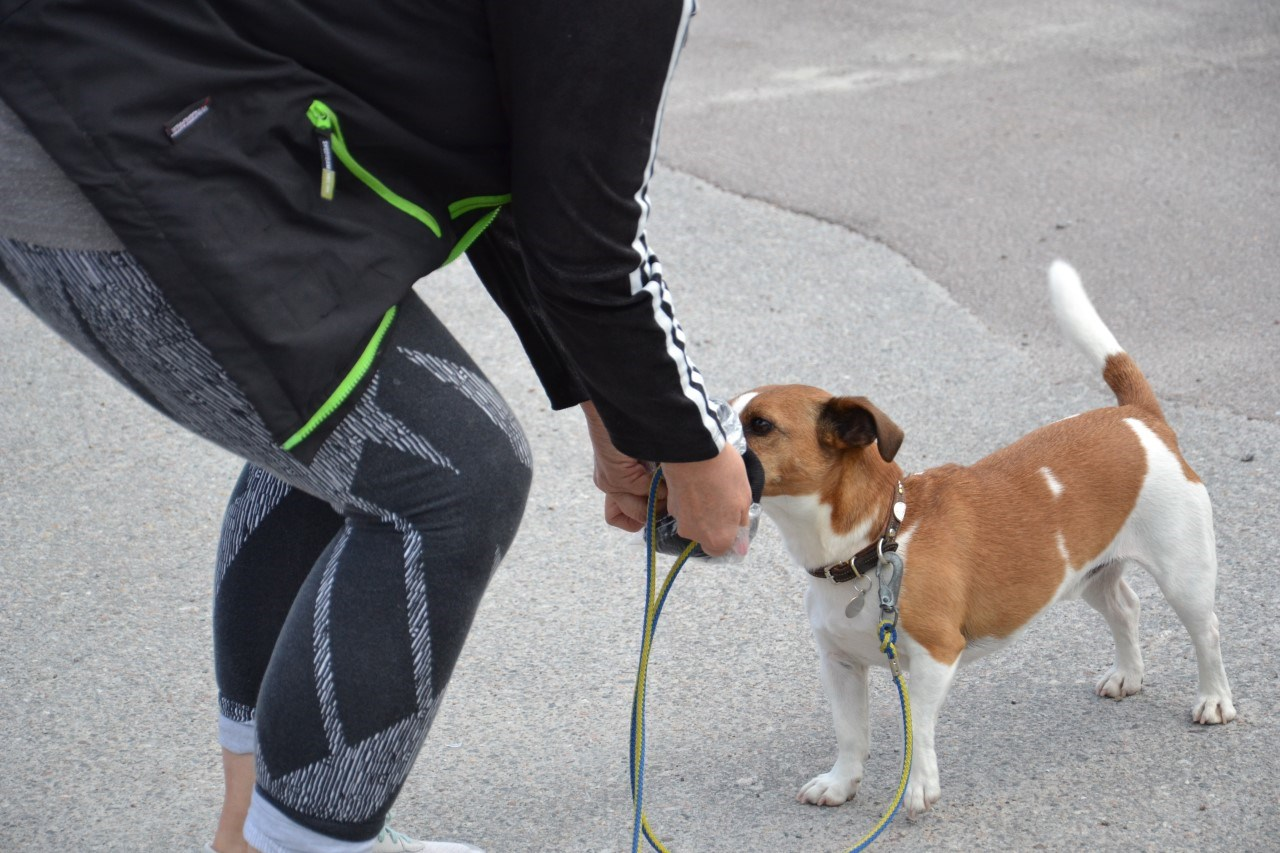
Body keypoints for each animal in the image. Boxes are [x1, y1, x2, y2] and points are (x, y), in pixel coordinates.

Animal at [737, 261, 1233, 819]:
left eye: (761, 425)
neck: (880, 540)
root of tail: (1138, 416)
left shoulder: (934, 658)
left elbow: (920, 732)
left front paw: (918, 787)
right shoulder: (840, 665)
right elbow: (850, 734)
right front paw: (842, 783)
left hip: (1185, 577)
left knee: (1207, 634)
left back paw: (1214, 699)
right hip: (1091, 575)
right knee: (1126, 609)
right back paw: (1128, 674)